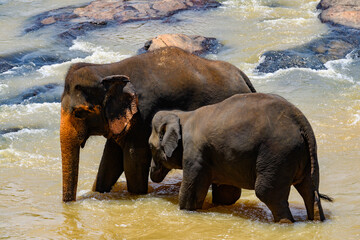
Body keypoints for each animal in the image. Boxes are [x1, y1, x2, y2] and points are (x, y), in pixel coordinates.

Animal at [59, 46, 256, 202]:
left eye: (79, 113)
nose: (71, 205)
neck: (109, 68)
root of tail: (244, 78)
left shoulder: (143, 115)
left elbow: (133, 159)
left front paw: (137, 195)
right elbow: (110, 159)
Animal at [148, 93, 332, 222]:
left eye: (149, 146)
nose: (153, 173)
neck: (182, 115)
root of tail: (301, 121)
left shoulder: (194, 153)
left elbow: (191, 193)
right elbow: (227, 193)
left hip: (278, 155)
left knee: (268, 193)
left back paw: (285, 223)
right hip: (305, 156)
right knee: (310, 191)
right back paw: (316, 220)